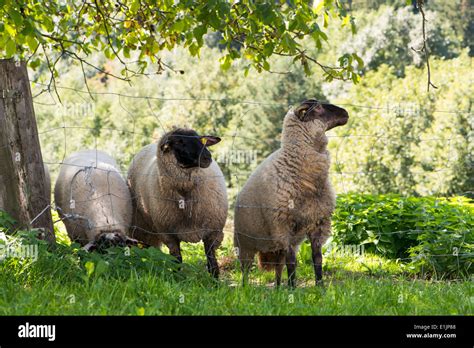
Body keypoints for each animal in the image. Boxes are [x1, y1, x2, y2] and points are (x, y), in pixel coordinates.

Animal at [128, 127, 228, 278]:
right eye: (179, 142)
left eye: (200, 139)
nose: (207, 157)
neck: (185, 194)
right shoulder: (169, 235)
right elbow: (177, 261)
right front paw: (177, 278)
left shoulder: (212, 232)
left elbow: (211, 261)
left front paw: (215, 281)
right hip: (142, 223)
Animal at [233, 99, 348, 286]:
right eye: (317, 107)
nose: (345, 113)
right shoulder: (283, 226)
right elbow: (292, 262)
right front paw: (293, 288)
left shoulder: (317, 223)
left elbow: (317, 259)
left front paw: (320, 286)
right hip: (245, 242)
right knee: (245, 268)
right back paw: (245, 288)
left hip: (276, 245)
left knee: (278, 268)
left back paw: (279, 288)